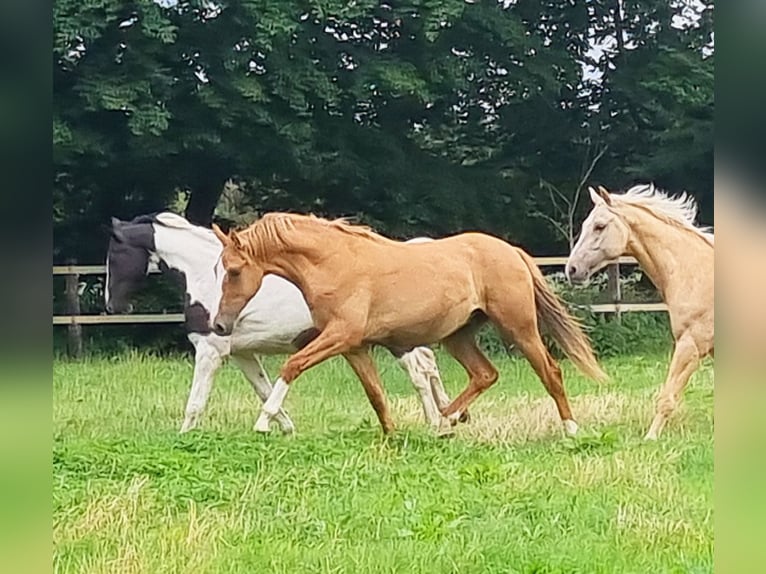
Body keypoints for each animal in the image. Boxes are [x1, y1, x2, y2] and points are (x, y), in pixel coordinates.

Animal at [106, 214, 460, 434]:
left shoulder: (210, 351)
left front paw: (184, 436)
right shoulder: (242, 354)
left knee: (419, 372)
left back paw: (437, 423)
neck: (205, 277)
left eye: (114, 254)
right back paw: (448, 418)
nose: (112, 306)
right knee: (427, 365)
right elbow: (264, 389)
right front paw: (285, 427)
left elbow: (195, 402)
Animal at [210, 215, 608, 436]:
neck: (335, 263)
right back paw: (445, 421)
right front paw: (392, 435)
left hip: (518, 328)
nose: (219, 325)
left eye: (234, 271)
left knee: (550, 371)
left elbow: (292, 366)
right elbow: (375, 395)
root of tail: (512, 251)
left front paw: (264, 421)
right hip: (457, 337)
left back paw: (570, 428)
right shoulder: (354, 347)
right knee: (484, 374)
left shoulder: (339, 336)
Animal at [568, 184, 716, 440]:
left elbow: (667, 397)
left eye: (599, 226)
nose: (572, 269)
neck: (694, 272)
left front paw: (650, 438)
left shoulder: (690, 344)